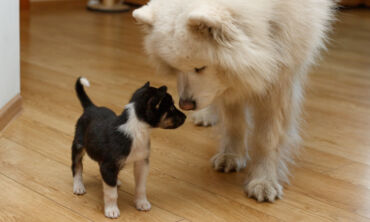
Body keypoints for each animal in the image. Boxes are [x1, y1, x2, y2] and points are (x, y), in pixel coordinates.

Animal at [71, 77, 186, 219]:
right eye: (171, 108)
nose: (186, 117)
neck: (137, 129)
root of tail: (91, 107)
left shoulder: (142, 162)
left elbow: (141, 186)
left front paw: (142, 203)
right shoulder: (108, 166)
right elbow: (111, 193)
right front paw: (111, 210)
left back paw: (115, 181)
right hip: (78, 145)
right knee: (77, 166)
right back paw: (78, 187)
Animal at [133, 0, 336, 201]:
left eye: (200, 67)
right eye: (175, 68)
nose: (185, 105)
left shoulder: (278, 80)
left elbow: (267, 138)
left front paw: (263, 181)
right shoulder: (229, 82)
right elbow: (234, 123)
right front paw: (231, 156)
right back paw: (206, 115)